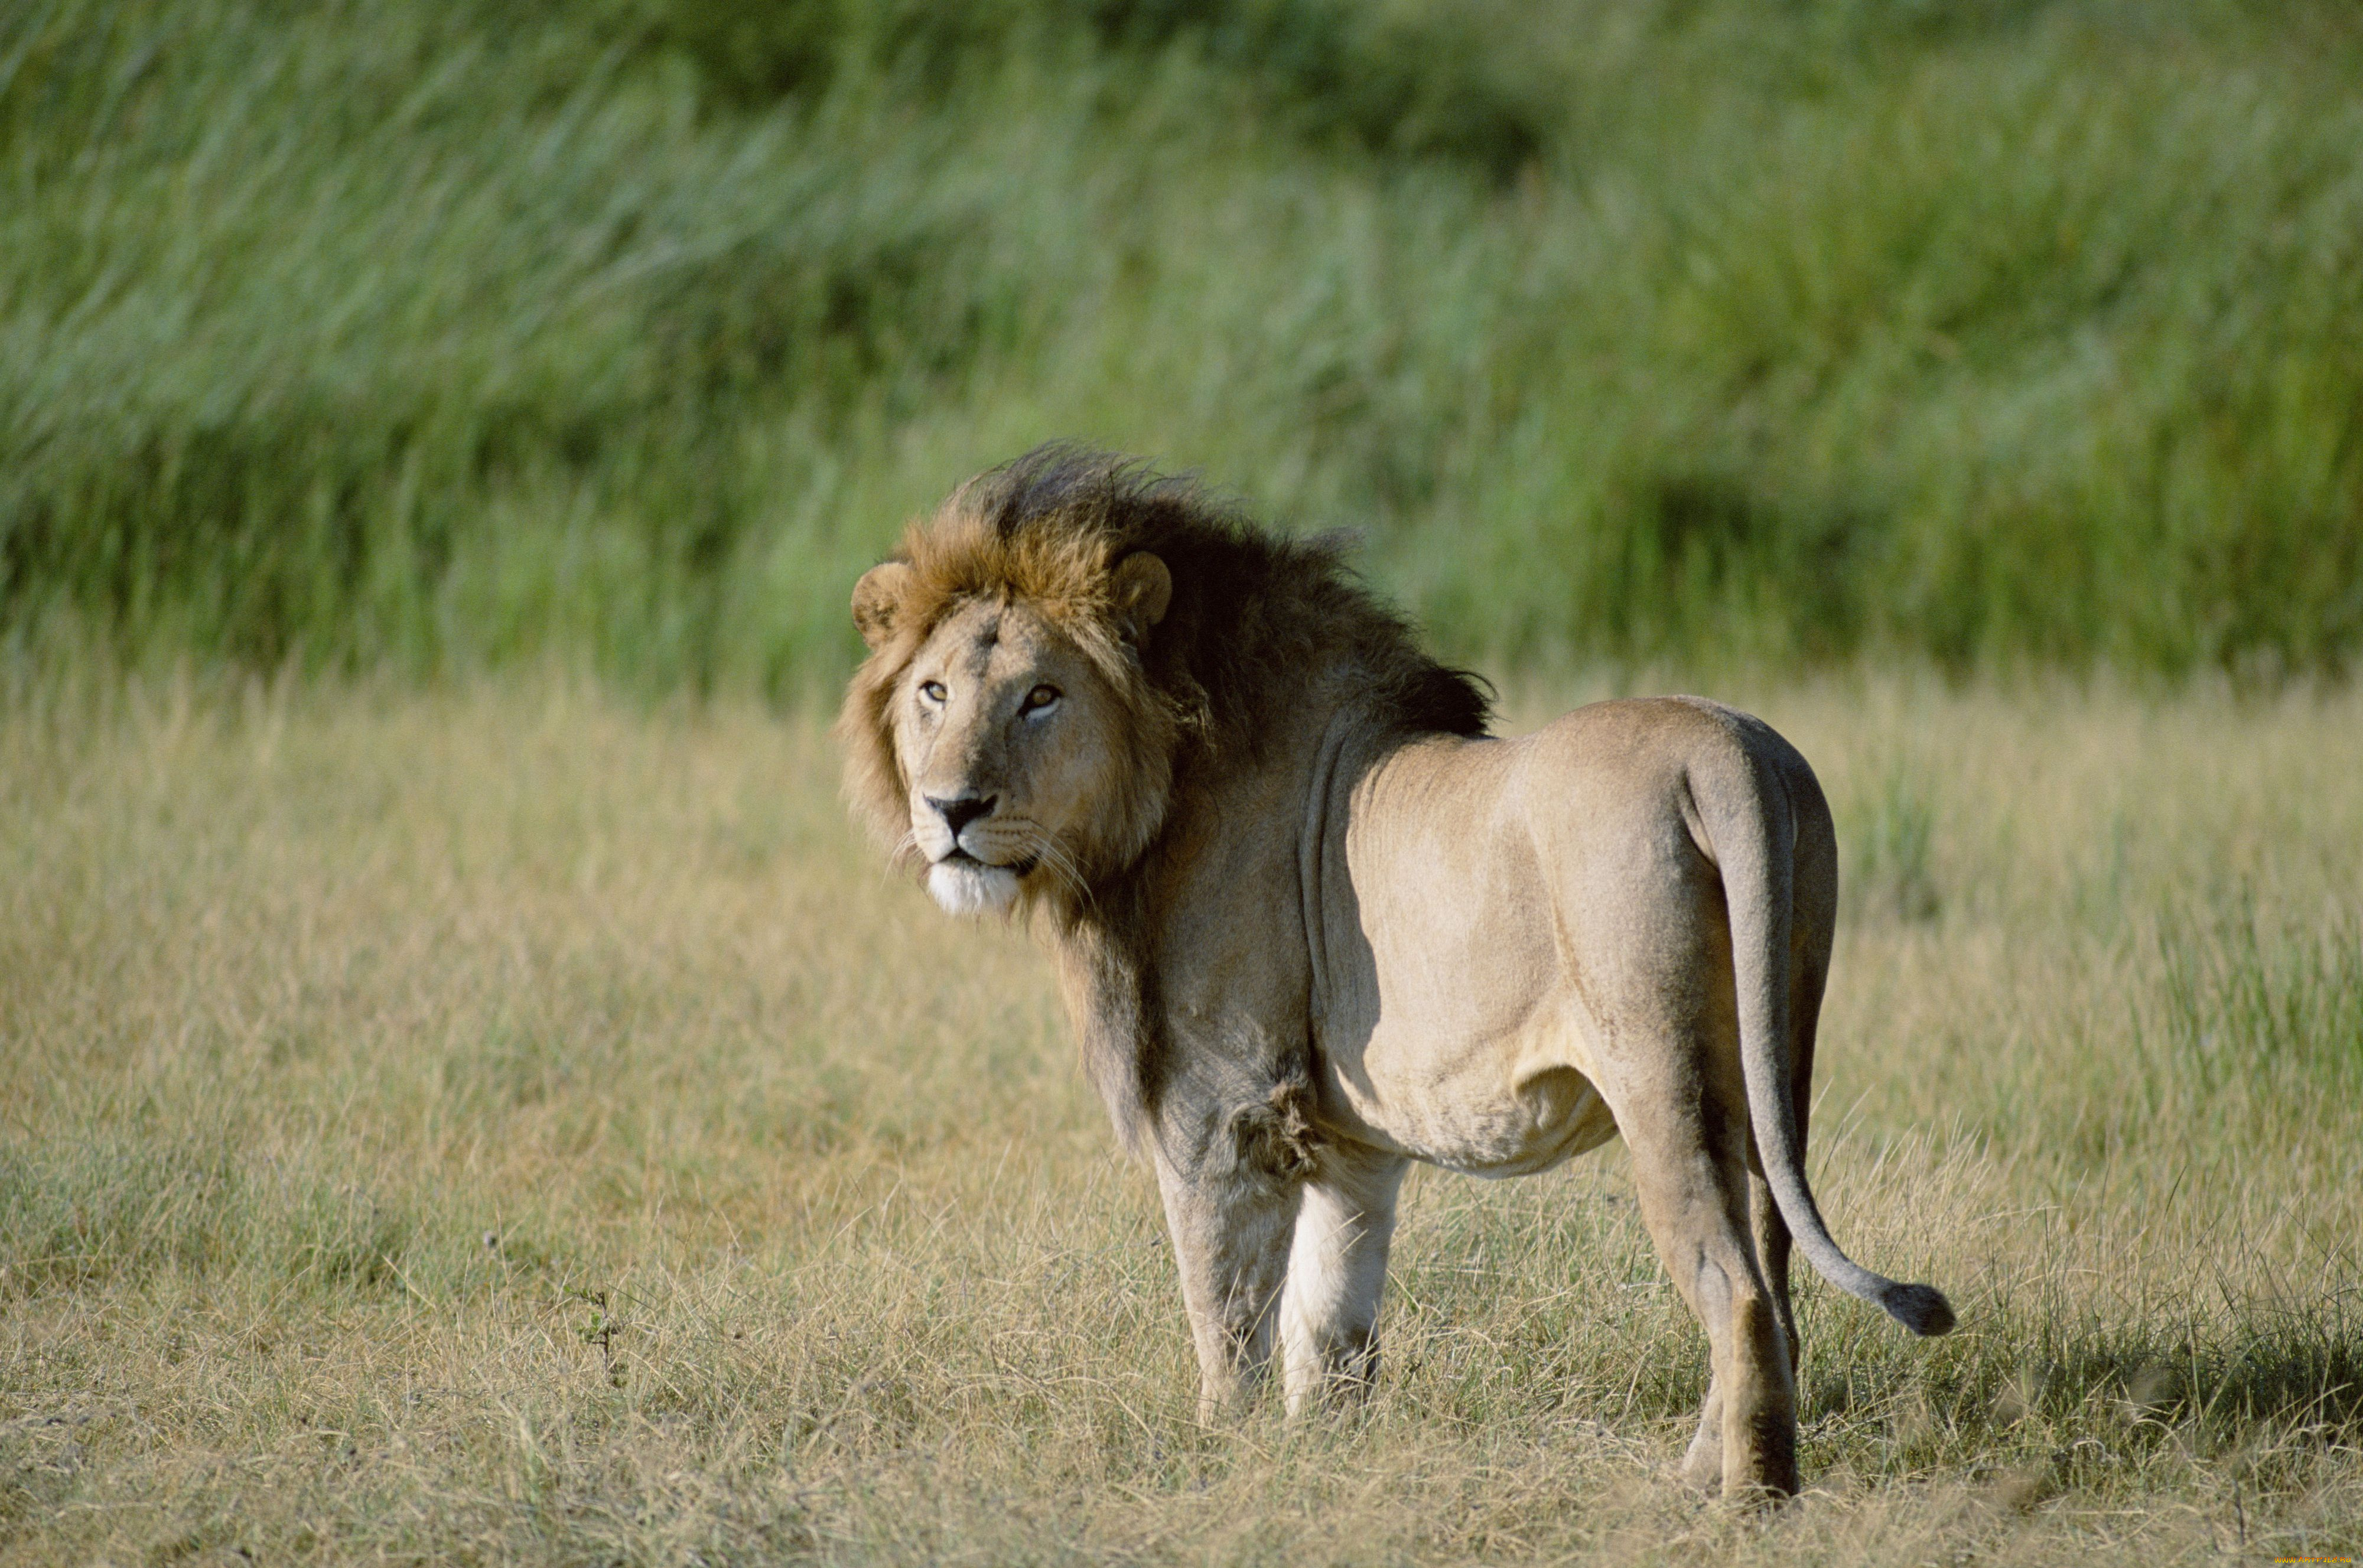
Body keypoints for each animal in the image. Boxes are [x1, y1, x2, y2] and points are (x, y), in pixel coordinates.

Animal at [841, 446, 1947, 1502]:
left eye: (1041, 696)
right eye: (934, 692)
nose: (951, 807)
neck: (1156, 796)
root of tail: (1726, 752)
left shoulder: (1221, 1104)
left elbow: (1226, 1312)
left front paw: (1220, 1455)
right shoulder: (1347, 1139)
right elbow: (1330, 1321)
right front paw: (1319, 1453)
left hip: (1660, 1073)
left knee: (1737, 1287)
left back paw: (1741, 1500)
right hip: (1775, 1066)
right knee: (1777, 1270)